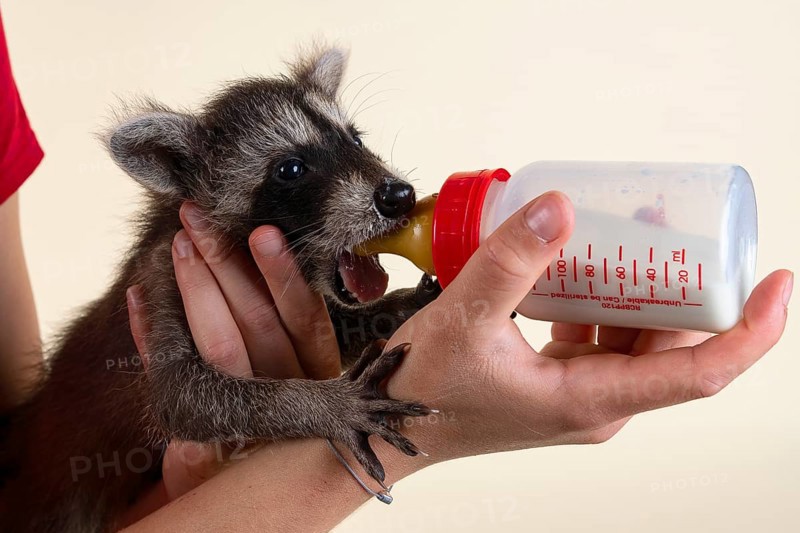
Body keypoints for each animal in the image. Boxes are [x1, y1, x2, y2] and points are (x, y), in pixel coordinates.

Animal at [0, 46, 440, 532]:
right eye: (291, 169)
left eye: (356, 141)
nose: (397, 196)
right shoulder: (160, 278)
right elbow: (182, 395)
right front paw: (323, 404)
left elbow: (343, 324)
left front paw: (395, 308)